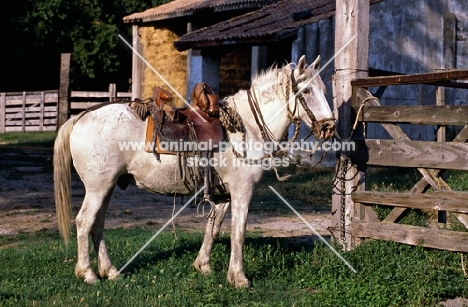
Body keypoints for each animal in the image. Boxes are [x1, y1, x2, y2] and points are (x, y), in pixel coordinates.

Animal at [54, 56, 332, 288]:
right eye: (306, 91)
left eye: (324, 89)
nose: (329, 126)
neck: (247, 127)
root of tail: (80, 117)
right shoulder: (242, 191)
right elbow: (238, 232)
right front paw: (239, 278)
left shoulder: (223, 194)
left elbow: (214, 228)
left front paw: (203, 265)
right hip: (98, 188)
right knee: (84, 222)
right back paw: (87, 273)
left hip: (107, 187)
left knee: (97, 224)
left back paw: (109, 271)